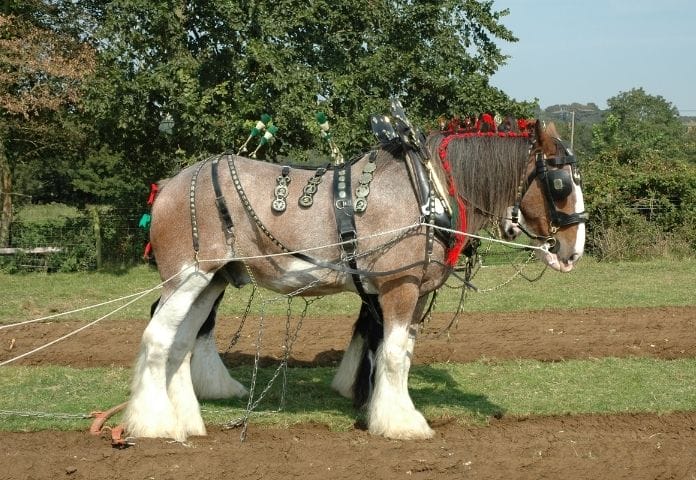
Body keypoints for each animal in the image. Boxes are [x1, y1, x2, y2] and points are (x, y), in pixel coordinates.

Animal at [125, 114, 588, 440]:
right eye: (561, 183)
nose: (573, 250)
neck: (428, 192)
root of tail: (168, 187)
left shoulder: (411, 291)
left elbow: (395, 352)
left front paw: (380, 409)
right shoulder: (398, 287)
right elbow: (394, 354)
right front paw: (402, 422)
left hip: (211, 281)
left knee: (182, 342)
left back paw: (186, 418)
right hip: (188, 277)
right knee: (158, 338)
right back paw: (155, 424)